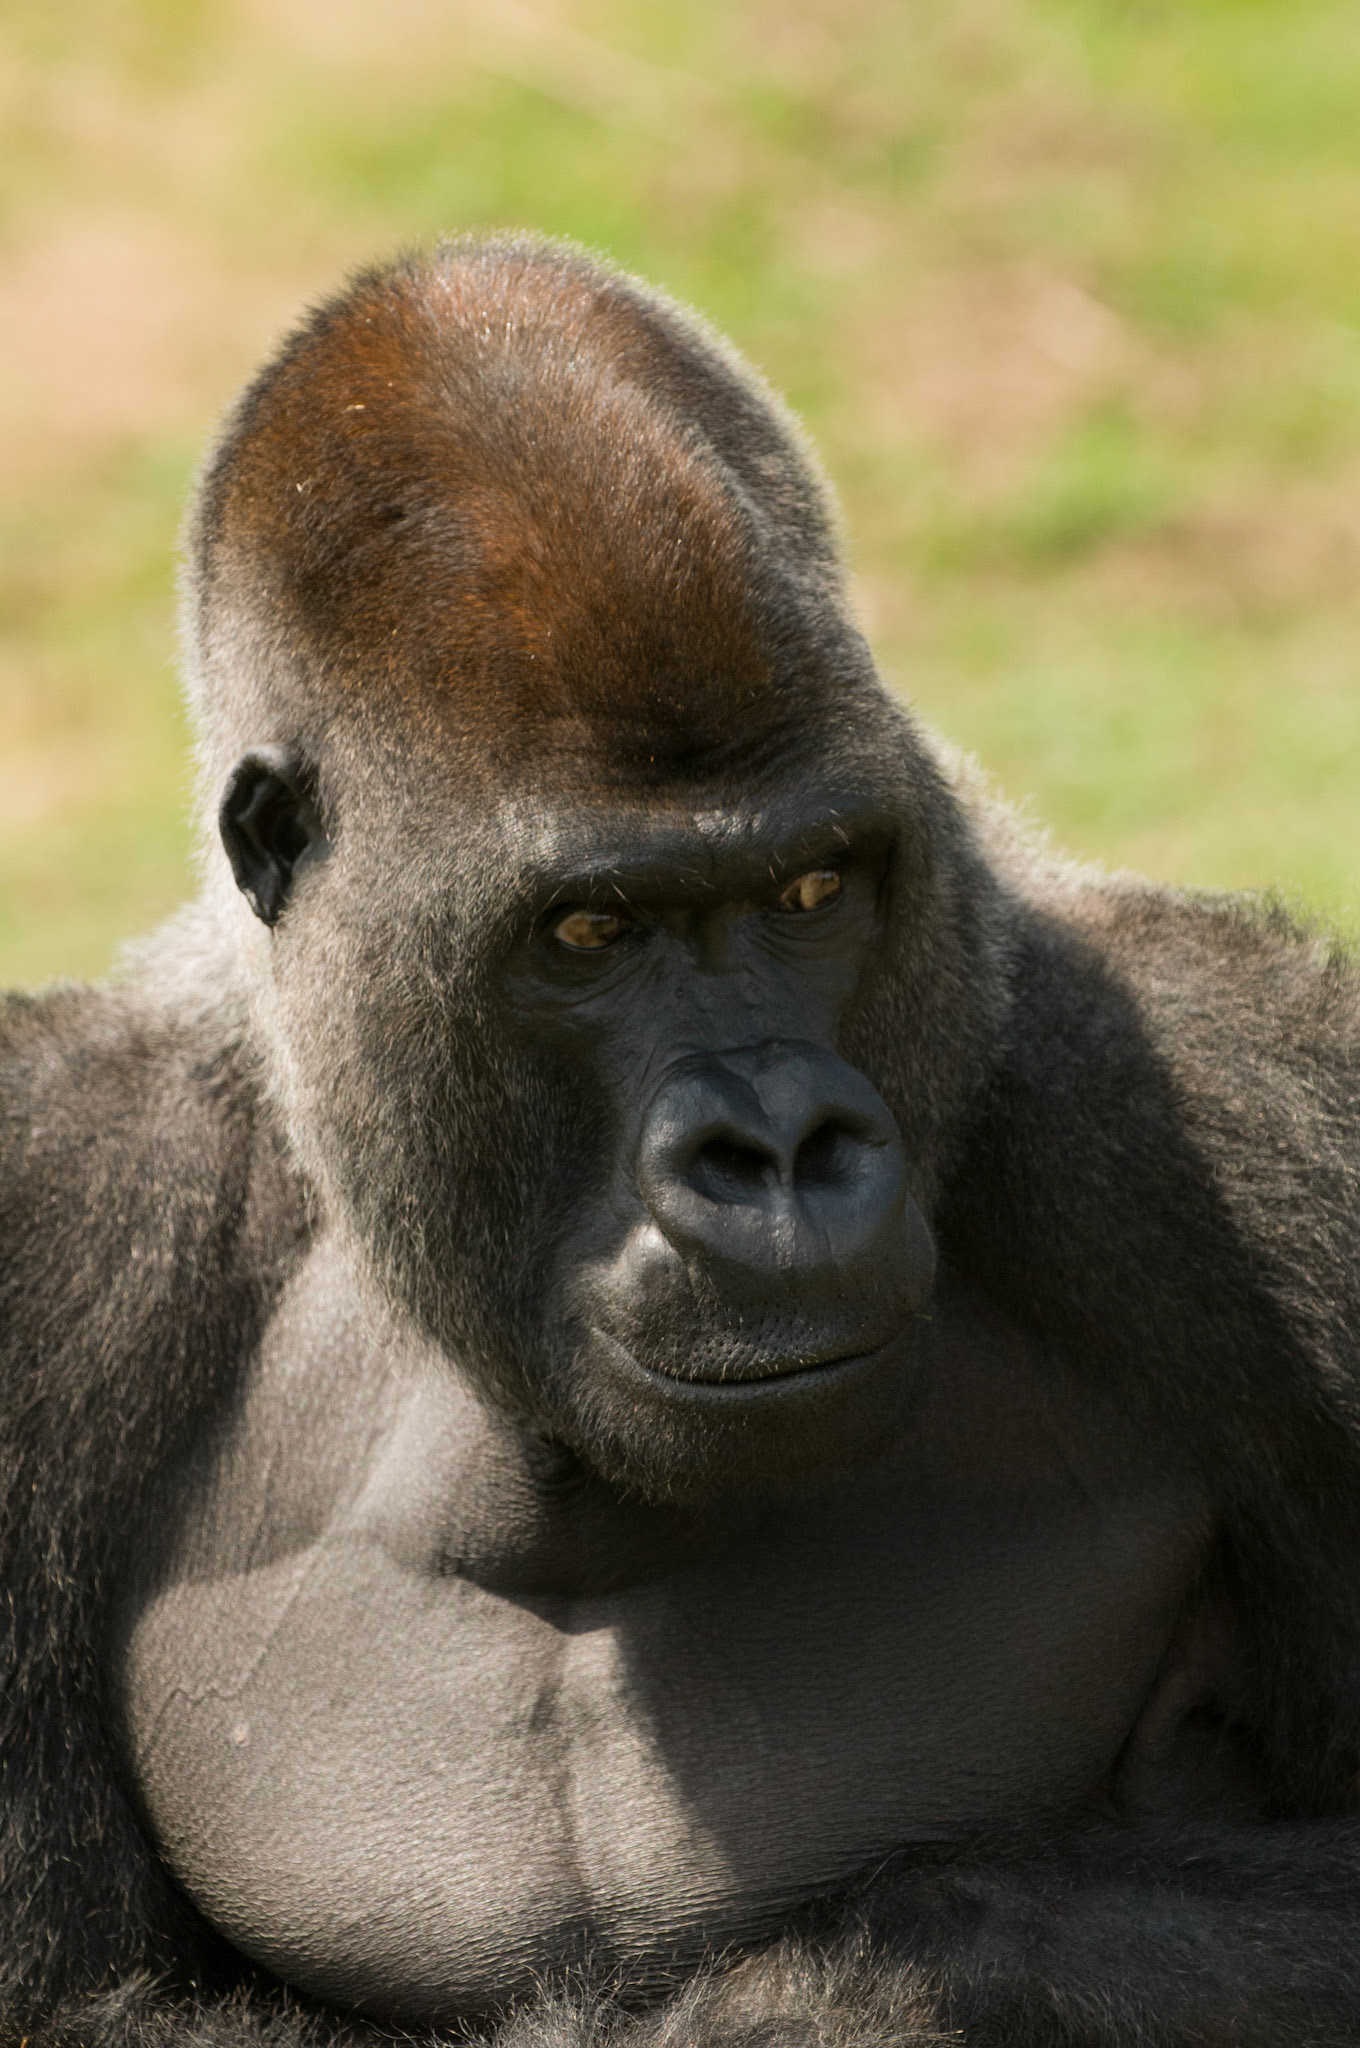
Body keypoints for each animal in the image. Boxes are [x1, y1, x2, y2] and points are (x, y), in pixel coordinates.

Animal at [5, 233, 1360, 2048]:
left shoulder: (1258, 1124)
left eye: (811, 888)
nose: (775, 1146)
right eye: (590, 933)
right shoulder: (55, 1220)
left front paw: (865, 1985)